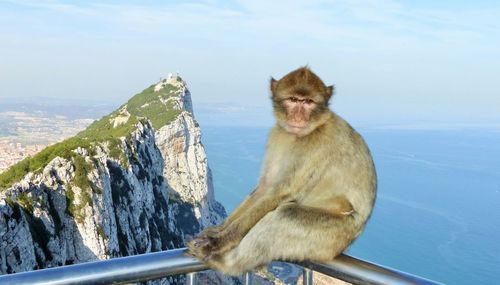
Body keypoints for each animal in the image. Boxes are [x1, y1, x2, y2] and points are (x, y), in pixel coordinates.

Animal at [187, 66, 376, 276]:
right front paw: (219, 229)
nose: (298, 117)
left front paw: (218, 242)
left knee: (286, 214)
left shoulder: (316, 144)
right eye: (293, 100)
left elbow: (280, 193)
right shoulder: (277, 134)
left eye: (308, 102)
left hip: (332, 236)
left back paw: (227, 264)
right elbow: (265, 187)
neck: (300, 134)